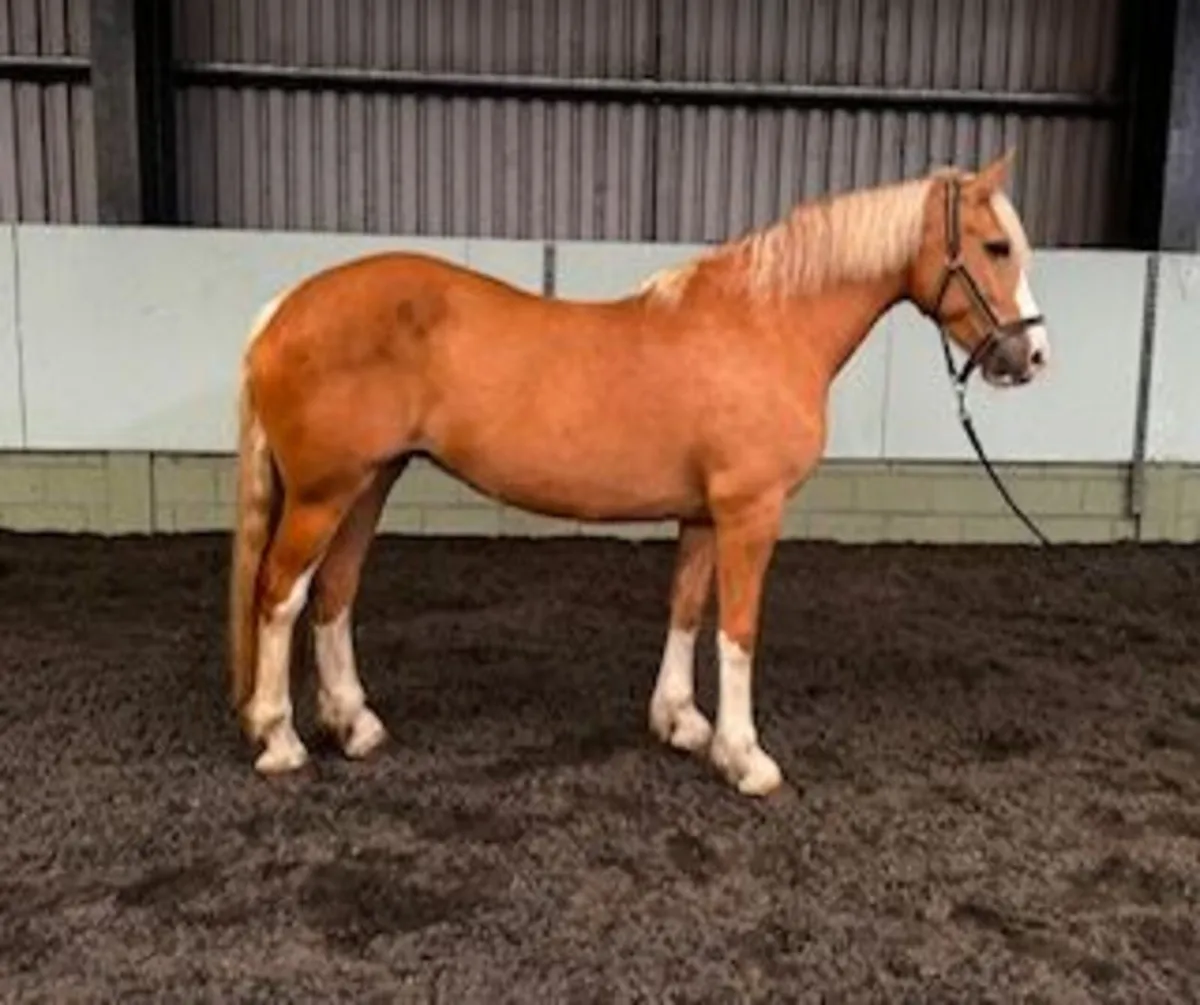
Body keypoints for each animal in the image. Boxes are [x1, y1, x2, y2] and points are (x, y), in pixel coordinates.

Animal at [228, 150, 1050, 797]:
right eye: (995, 245)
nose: (1033, 357)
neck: (766, 324)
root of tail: (281, 309)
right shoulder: (752, 511)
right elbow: (739, 628)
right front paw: (745, 757)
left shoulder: (703, 513)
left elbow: (685, 607)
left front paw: (681, 722)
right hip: (324, 493)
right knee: (280, 595)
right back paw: (280, 738)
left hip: (370, 481)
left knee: (335, 591)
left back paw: (355, 724)